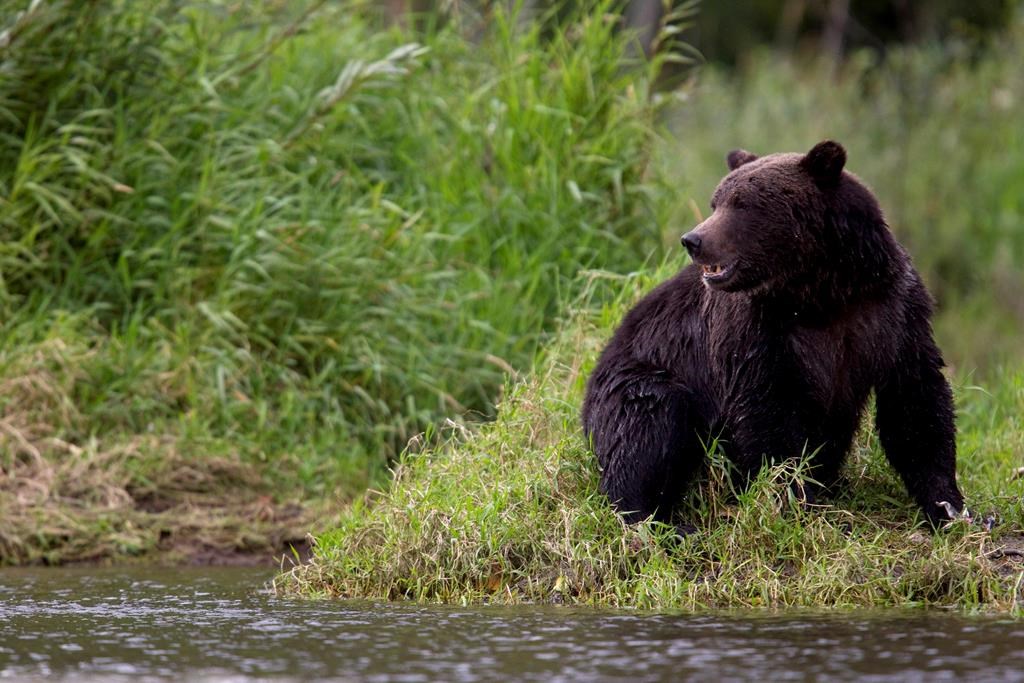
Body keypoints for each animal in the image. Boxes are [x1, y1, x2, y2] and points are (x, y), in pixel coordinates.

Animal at [582, 140, 964, 529]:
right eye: (716, 202)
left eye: (741, 204)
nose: (693, 239)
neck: (821, 292)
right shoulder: (757, 330)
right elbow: (767, 413)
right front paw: (796, 499)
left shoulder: (890, 310)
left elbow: (915, 399)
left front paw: (949, 506)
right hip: (637, 377)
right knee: (647, 423)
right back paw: (658, 520)